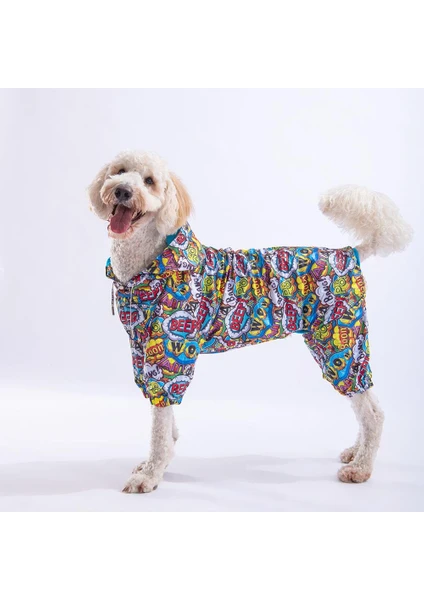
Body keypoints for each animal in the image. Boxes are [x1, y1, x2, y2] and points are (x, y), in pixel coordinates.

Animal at [89, 151, 413, 493]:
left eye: (149, 181)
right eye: (118, 171)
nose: (122, 190)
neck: (147, 264)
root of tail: (349, 253)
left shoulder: (169, 353)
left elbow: (160, 422)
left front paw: (150, 474)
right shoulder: (142, 351)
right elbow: (163, 418)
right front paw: (160, 461)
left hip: (341, 342)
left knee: (372, 411)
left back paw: (362, 468)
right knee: (363, 406)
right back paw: (356, 452)